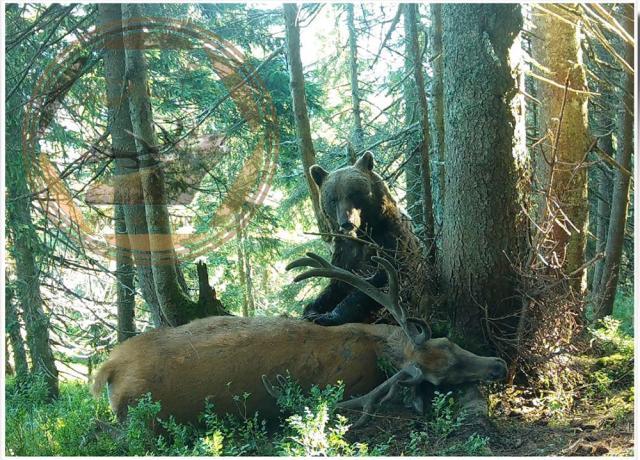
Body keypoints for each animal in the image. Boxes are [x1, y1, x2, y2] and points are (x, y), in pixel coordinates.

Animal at [302, 150, 428, 324]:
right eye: (333, 199)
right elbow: (337, 284)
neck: (364, 234)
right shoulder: (345, 251)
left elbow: (381, 279)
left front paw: (329, 316)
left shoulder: (391, 239)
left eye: (353, 193)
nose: (346, 223)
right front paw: (312, 309)